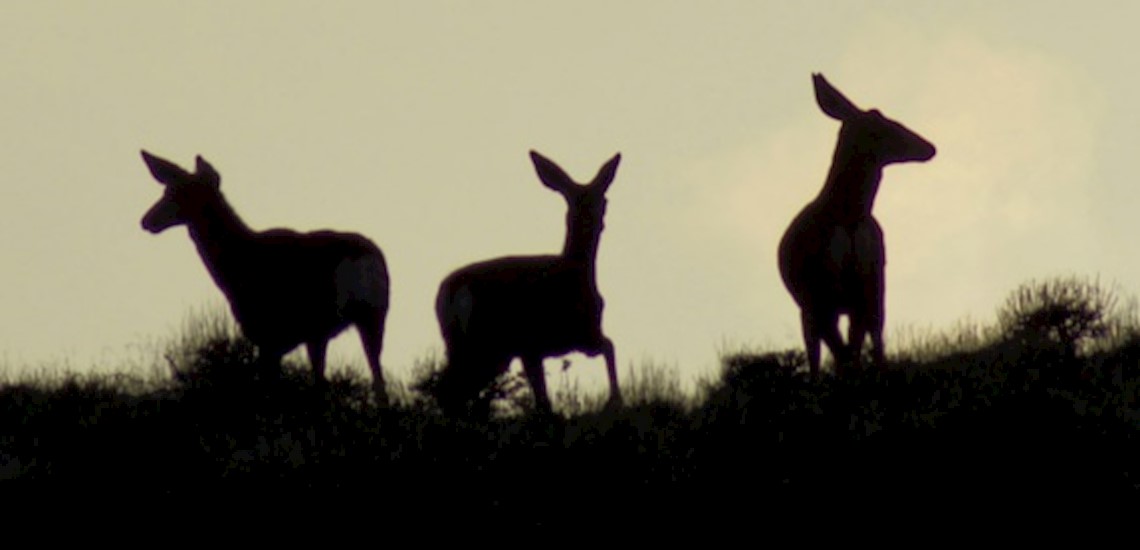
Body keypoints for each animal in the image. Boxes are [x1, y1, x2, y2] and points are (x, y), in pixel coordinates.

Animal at [138, 151, 392, 403]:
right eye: (166, 190)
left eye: (179, 192)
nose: (146, 220)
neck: (236, 268)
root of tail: (364, 258)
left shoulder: (266, 333)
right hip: (367, 317)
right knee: (372, 382)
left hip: (321, 318)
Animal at [430, 150, 624, 417]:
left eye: (603, 200)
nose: (596, 221)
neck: (577, 273)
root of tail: (450, 294)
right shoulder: (574, 334)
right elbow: (609, 346)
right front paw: (615, 401)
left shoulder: (549, 345)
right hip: (490, 342)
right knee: (452, 391)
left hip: (471, 345)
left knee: (450, 390)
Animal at [775, 74, 934, 378]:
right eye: (882, 123)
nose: (929, 147)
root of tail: (850, 222)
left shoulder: (813, 301)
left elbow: (820, 353)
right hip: (870, 284)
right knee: (868, 339)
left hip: (824, 293)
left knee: (838, 348)